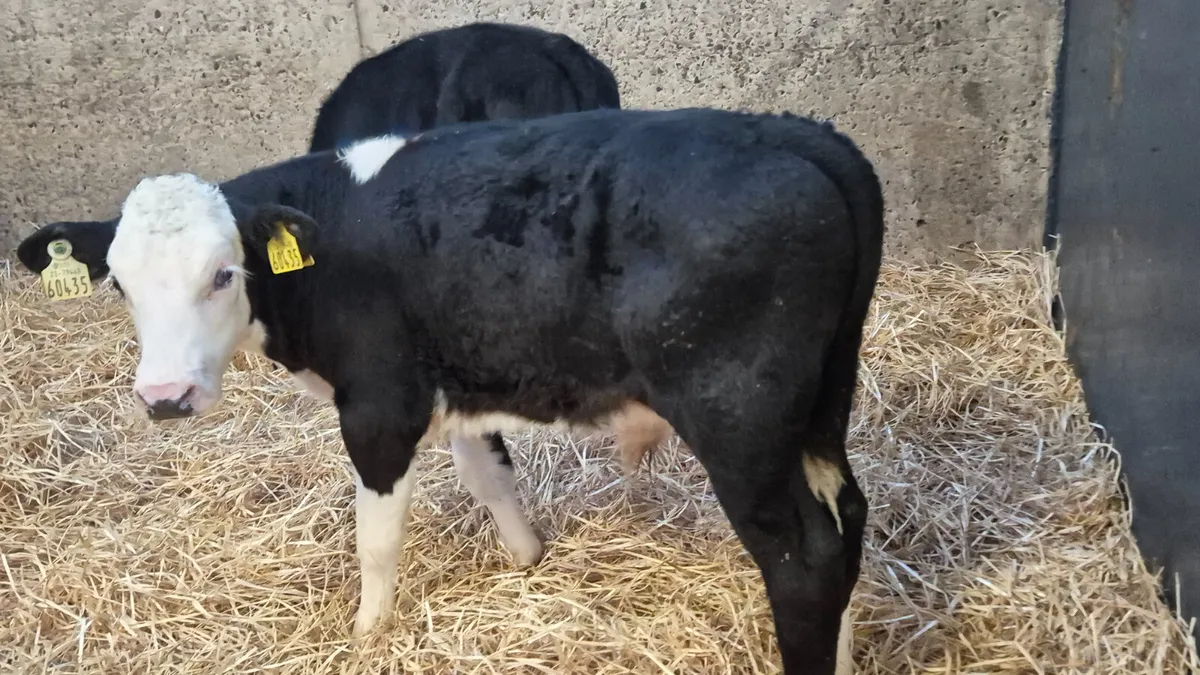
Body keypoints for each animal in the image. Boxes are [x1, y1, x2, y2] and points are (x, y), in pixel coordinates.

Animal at [14, 107, 884, 675]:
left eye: (224, 273)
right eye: (119, 283)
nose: (164, 395)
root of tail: (795, 132)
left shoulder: (379, 405)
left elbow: (376, 536)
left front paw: (367, 633)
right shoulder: (457, 377)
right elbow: (486, 472)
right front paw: (528, 558)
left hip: (739, 419)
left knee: (804, 558)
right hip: (819, 410)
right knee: (847, 521)